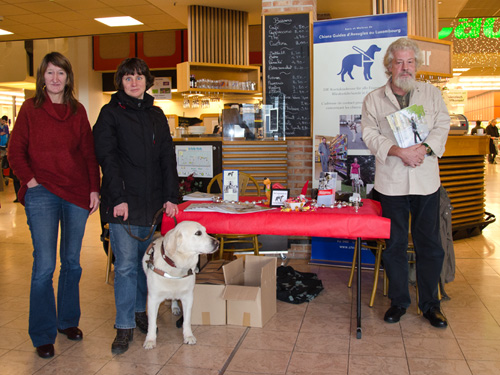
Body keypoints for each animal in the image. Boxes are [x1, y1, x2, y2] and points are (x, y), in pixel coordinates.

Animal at [142, 222, 218, 352]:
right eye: (198, 233)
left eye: (206, 231)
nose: (217, 242)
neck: (176, 266)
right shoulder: (153, 299)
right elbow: (152, 322)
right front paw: (150, 340)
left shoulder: (188, 297)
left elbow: (187, 320)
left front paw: (188, 336)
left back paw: (175, 307)